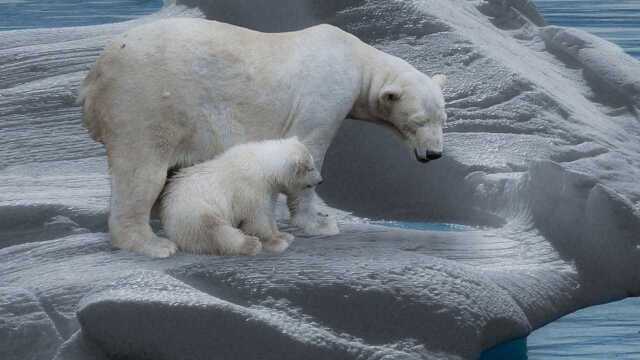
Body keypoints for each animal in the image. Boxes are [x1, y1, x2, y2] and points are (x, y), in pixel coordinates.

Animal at [80, 18, 448, 258]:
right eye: (418, 122)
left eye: (442, 120)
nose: (434, 154)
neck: (357, 59)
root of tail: (95, 75)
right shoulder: (324, 96)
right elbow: (310, 147)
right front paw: (320, 223)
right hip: (145, 102)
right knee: (142, 172)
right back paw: (152, 244)